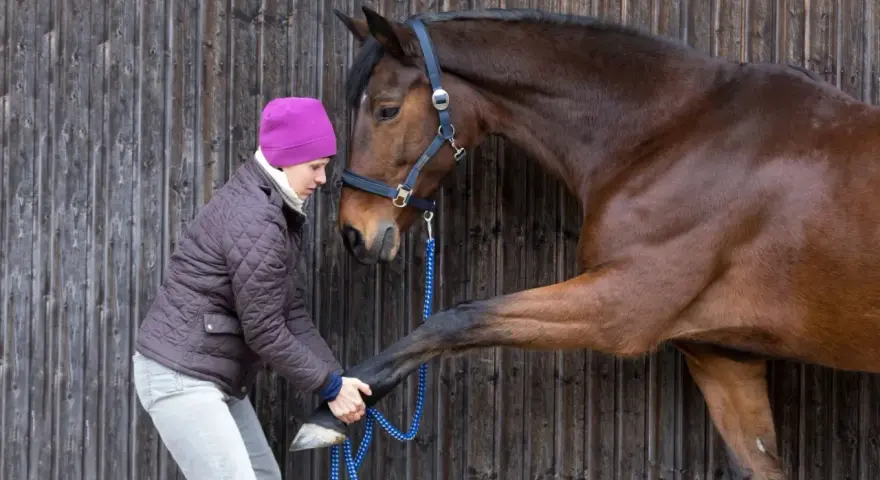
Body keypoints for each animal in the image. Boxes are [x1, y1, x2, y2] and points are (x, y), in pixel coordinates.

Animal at [290, 6, 880, 479]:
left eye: (386, 109)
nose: (355, 233)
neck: (673, 135)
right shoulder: (723, 357)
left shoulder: (621, 308)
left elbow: (456, 319)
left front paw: (329, 413)